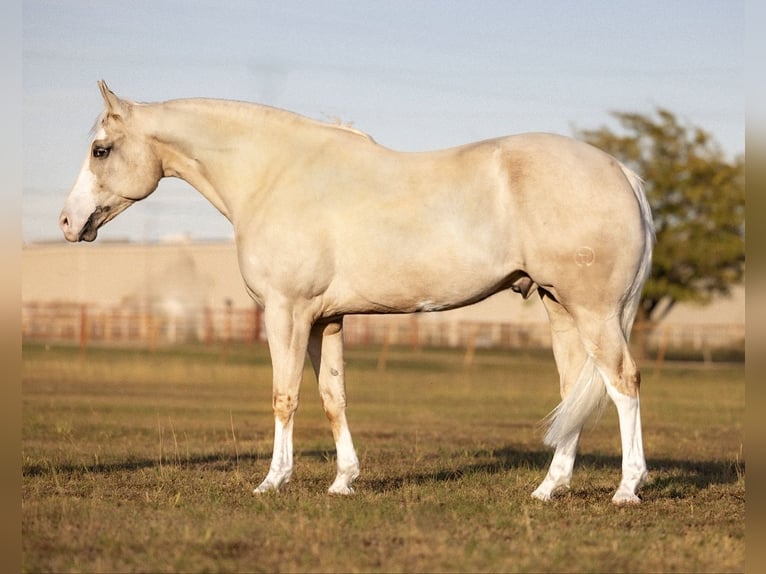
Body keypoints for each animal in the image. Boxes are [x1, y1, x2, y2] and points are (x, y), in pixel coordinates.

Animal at [61, 81, 656, 504]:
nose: (68, 222)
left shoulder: (287, 313)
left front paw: (273, 481)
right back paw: (548, 488)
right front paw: (343, 480)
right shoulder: (326, 320)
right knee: (574, 392)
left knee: (623, 382)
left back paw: (628, 489)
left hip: (595, 312)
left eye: (100, 150)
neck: (275, 175)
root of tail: (619, 171)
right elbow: (333, 395)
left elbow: (284, 396)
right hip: (561, 310)